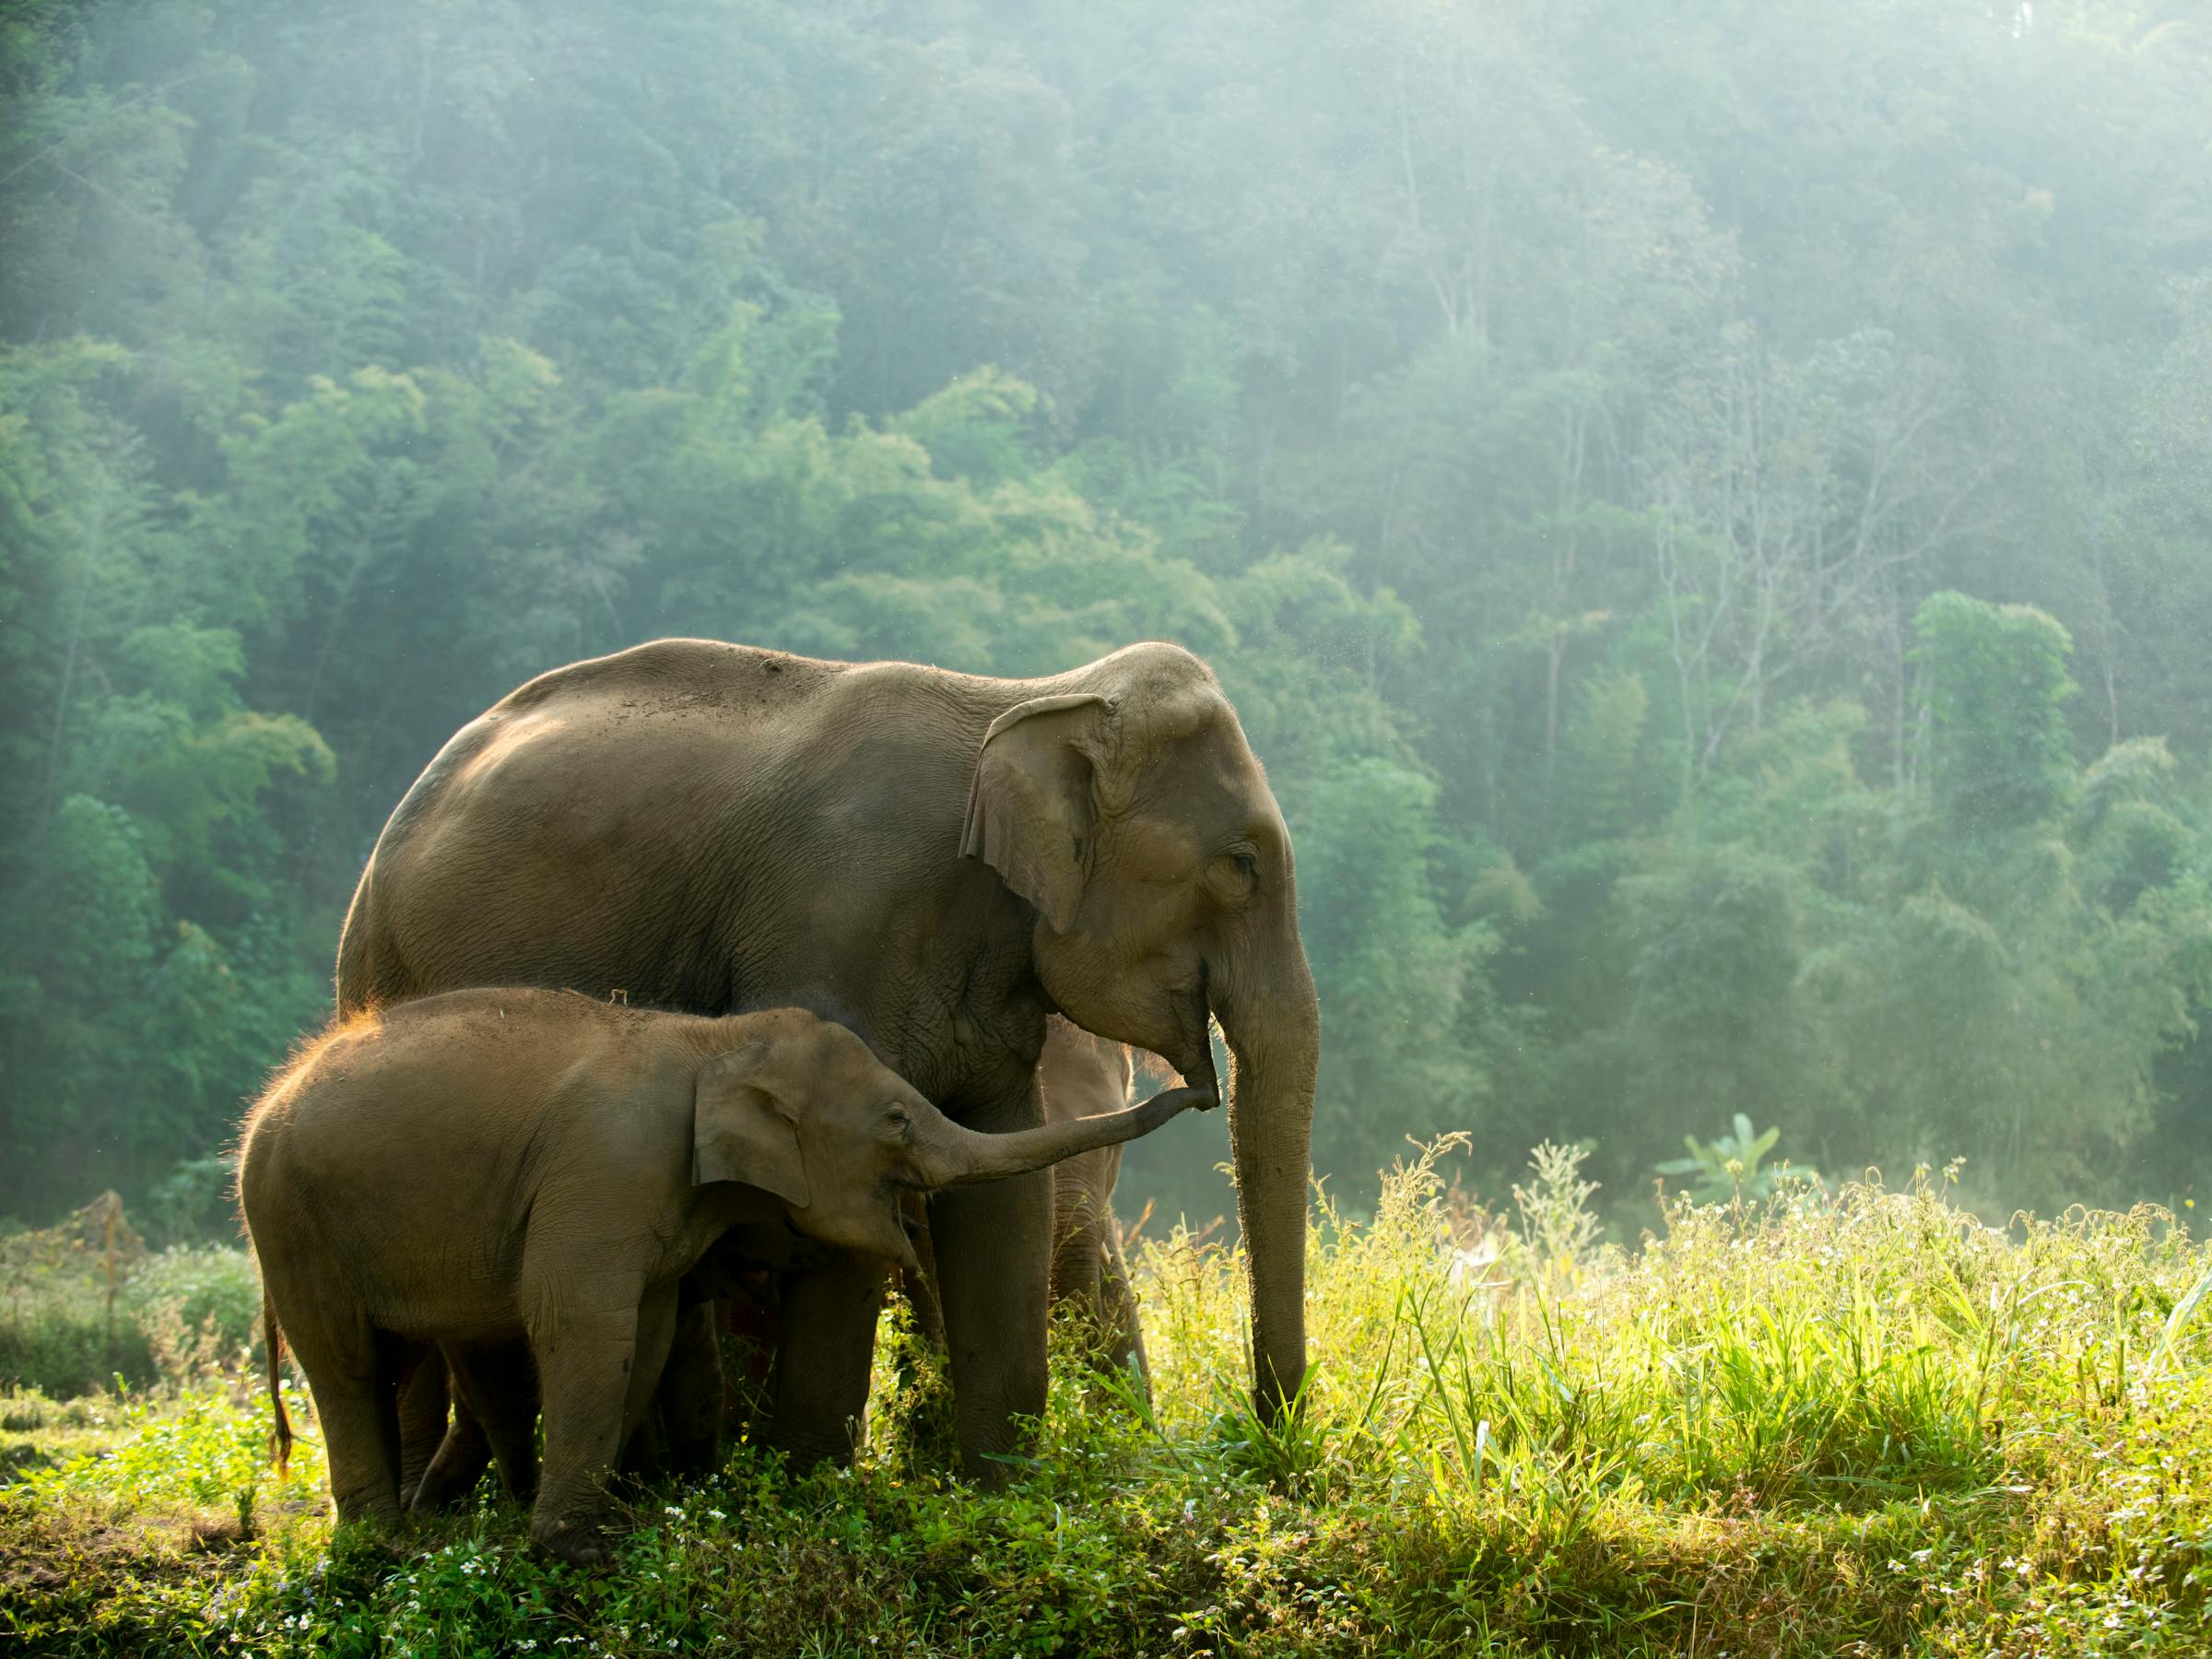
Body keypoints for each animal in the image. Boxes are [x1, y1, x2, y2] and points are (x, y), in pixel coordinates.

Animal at [240, 988, 1202, 1563]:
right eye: (896, 1120)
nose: (1201, 1086)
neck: (714, 1043)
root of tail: (266, 1102)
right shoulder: (608, 1168)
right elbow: (582, 1320)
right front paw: (573, 1550)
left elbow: (649, 1326)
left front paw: (623, 1515)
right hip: (287, 1213)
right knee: (346, 1364)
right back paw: (378, 1549)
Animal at [336, 637, 1320, 1485]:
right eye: (1239, 865)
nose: (1201, 1084)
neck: (1028, 696)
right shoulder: (839, 928)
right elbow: (847, 1196)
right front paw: (812, 1492)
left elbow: (1005, 1195)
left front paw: (998, 1499)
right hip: (381, 973)